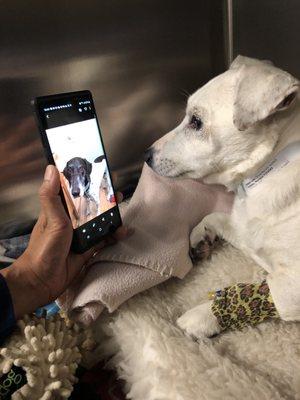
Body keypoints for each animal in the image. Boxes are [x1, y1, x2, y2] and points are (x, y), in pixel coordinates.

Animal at [146, 56, 300, 338]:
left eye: (196, 121)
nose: (145, 156)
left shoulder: (291, 286)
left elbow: (258, 292)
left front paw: (203, 315)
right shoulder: (246, 232)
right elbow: (214, 215)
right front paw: (200, 237)